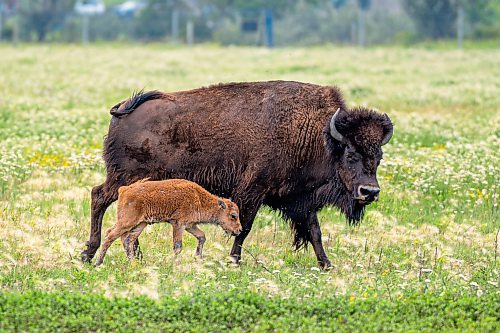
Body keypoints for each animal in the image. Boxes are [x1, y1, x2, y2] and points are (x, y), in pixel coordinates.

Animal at [95, 179, 242, 264]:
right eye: (233, 215)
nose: (239, 230)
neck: (199, 198)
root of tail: (124, 189)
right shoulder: (178, 224)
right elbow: (178, 246)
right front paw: (175, 264)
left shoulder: (190, 226)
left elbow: (202, 236)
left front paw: (198, 258)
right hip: (127, 221)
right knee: (110, 234)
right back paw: (98, 262)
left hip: (140, 224)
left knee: (127, 240)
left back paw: (133, 264)